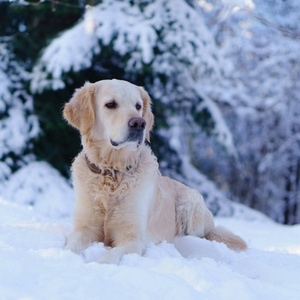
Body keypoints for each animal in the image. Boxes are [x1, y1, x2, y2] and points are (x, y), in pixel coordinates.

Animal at [62, 78, 246, 264]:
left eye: (138, 106)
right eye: (111, 104)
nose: (139, 123)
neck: (112, 171)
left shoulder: (132, 238)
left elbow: (109, 256)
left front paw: (98, 265)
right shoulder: (85, 229)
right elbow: (71, 247)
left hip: (189, 203)